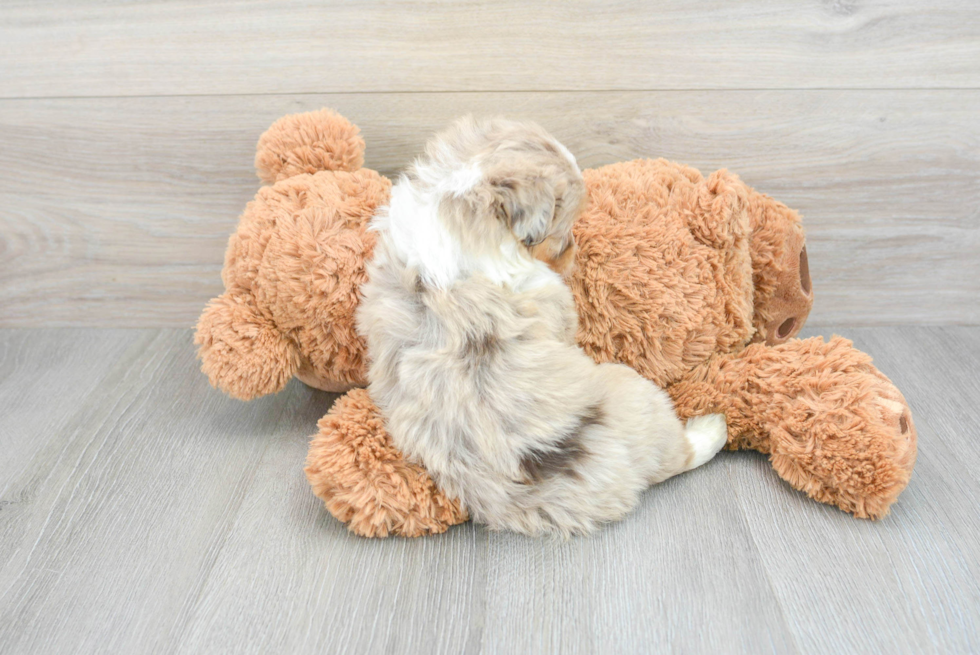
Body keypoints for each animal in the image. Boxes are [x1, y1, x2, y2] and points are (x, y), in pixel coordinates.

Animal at [360, 116, 728, 540]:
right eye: (560, 231)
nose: (575, 250)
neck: (453, 208)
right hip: (637, 395)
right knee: (677, 455)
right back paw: (713, 428)